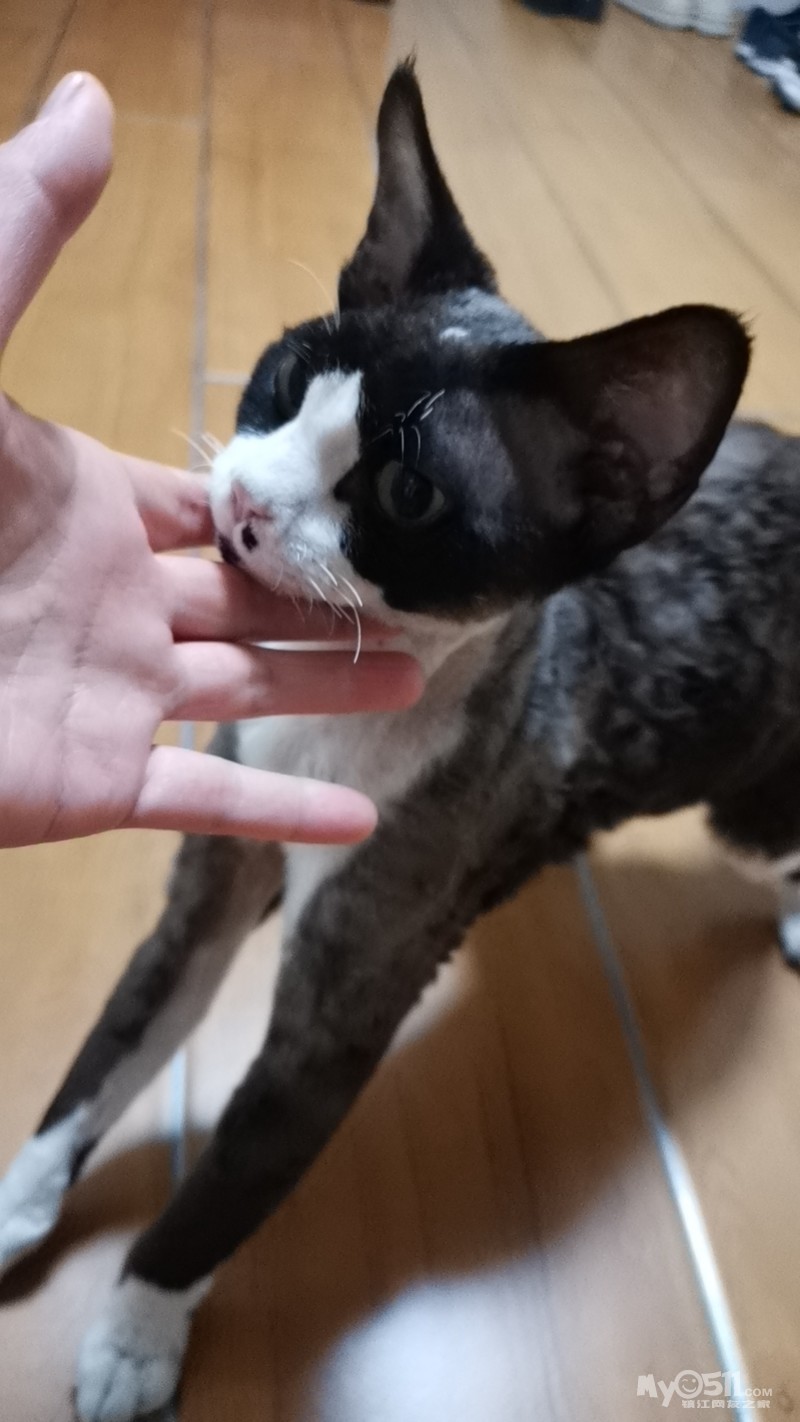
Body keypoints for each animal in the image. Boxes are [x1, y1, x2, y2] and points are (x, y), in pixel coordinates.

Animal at [1, 60, 798, 1422]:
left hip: (755, 793)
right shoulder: (213, 877)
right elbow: (111, 1050)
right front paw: (17, 1203)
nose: (242, 503)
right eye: (282, 378)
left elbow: (227, 1182)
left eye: (405, 494)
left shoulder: (343, 1003)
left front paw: (132, 1334)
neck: (330, 716)